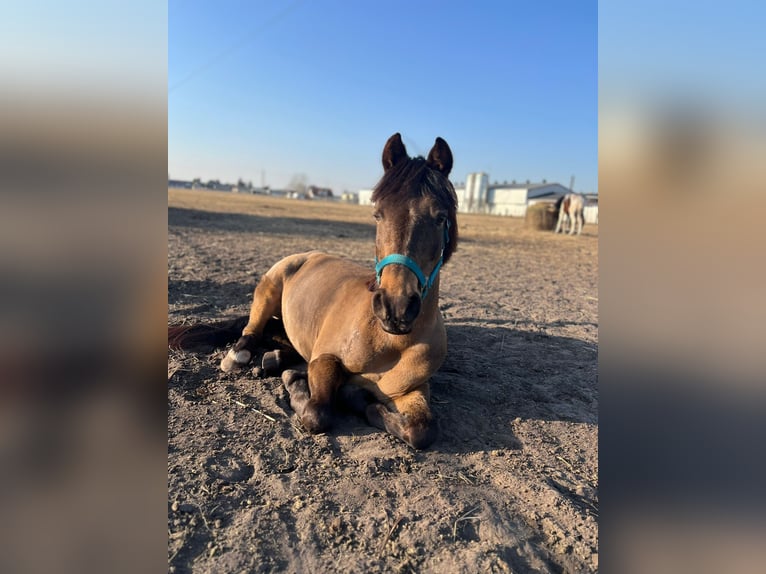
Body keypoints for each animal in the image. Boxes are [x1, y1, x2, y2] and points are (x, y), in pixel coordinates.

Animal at [170, 133, 458, 449]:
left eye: (440, 217)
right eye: (377, 214)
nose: (395, 307)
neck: (389, 342)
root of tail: (310, 255)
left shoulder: (412, 389)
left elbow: (421, 430)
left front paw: (356, 397)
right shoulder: (324, 359)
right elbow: (317, 413)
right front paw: (298, 384)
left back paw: (274, 359)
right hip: (269, 288)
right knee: (252, 330)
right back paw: (241, 356)